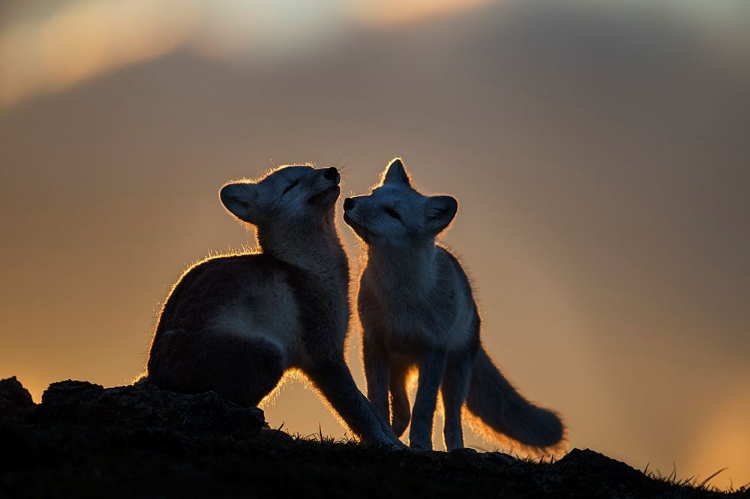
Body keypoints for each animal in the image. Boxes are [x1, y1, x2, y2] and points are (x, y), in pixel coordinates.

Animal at [149, 166, 402, 448]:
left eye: (310, 168)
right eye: (290, 186)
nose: (330, 171)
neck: (308, 269)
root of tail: (155, 375)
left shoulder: (332, 351)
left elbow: (371, 410)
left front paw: (400, 443)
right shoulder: (324, 356)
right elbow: (360, 412)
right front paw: (386, 444)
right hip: (269, 355)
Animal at [344, 158, 568, 452]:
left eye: (393, 213)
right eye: (372, 195)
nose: (348, 202)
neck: (400, 299)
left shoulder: (434, 349)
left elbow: (424, 408)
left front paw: (421, 445)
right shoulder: (374, 342)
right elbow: (378, 398)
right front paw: (382, 436)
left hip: (454, 375)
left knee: (450, 417)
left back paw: (456, 447)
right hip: (398, 365)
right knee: (402, 409)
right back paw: (394, 431)